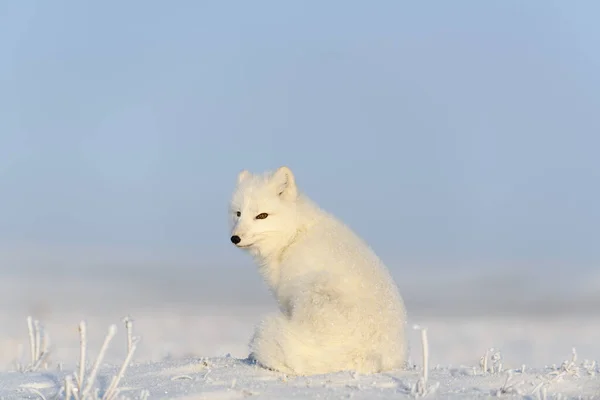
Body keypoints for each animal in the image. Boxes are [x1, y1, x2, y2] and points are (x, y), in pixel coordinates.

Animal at [230, 166, 408, 376]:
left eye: (262, 216)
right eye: (238, 213)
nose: (235, 238)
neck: (293, 235)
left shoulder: (288, 299)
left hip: (314, 291)